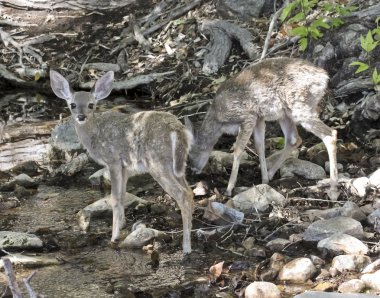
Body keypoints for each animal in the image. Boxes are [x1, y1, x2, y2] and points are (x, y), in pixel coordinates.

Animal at [49, 70, 194, 254]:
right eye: (72, 104)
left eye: (91, 105)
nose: (81, 116)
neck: (94, 133)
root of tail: (177, 129)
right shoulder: (125, 166)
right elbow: (123, 194)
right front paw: (123, 225)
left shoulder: (113, 161)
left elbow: (115, 198)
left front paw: (114, 237)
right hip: (177, 164)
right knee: (190, 191)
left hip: (157, 162)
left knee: (182, 194)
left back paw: (186, 247)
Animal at [186, 57, 338, 199]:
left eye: (190, 154)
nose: (193, 171)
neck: (219, 119)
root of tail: (324, 77)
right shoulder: (259, 119)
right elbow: (260, 146)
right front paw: (263, 179)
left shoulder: (248, 116)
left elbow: (238, 148)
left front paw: (229, 188)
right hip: (286, 113)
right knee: (294, 139)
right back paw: (270, 174)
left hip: (299, 105)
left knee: (330, 134)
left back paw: (333, 188)